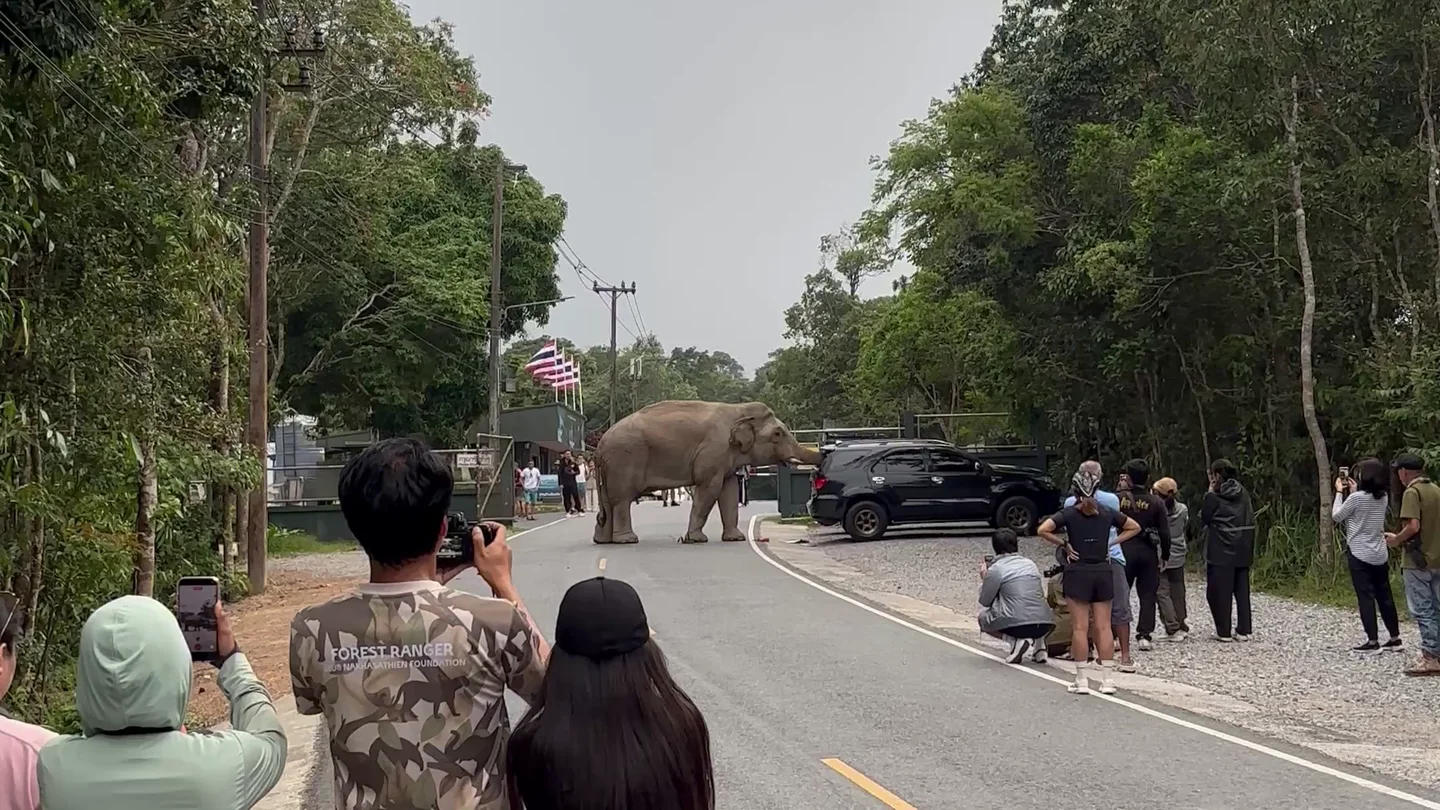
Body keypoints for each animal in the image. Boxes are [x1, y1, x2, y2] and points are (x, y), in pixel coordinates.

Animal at [592, 401, 822, 544]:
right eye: (777, 434)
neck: (738, 411)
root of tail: (600, 446)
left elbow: (729, 492)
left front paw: (735, 538)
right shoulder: (713, 451)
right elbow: (709, 489)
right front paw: (695, 539)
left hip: (610, 467)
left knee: (608, 503)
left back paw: (603, 541)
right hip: (624, 460)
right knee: (622, 500)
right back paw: (627, 540)